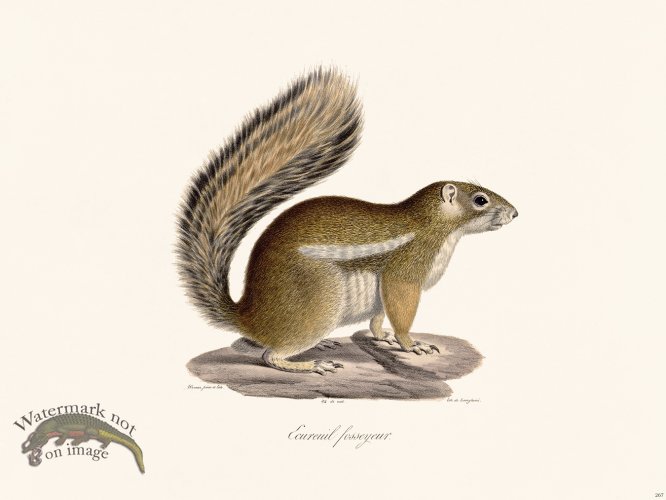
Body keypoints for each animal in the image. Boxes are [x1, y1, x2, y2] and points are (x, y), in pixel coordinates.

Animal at [176, 67, 518, 375]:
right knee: (270, 355)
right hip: (320, 302)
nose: (515, 213)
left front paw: (384, 339)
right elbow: (400, 311)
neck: (430, 224)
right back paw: (312, 364)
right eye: (481, 200)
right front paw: (412, 344)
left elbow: (378, 318)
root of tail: (247, 314)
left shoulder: (383, 292)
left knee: (247, 345)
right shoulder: (404, 272)